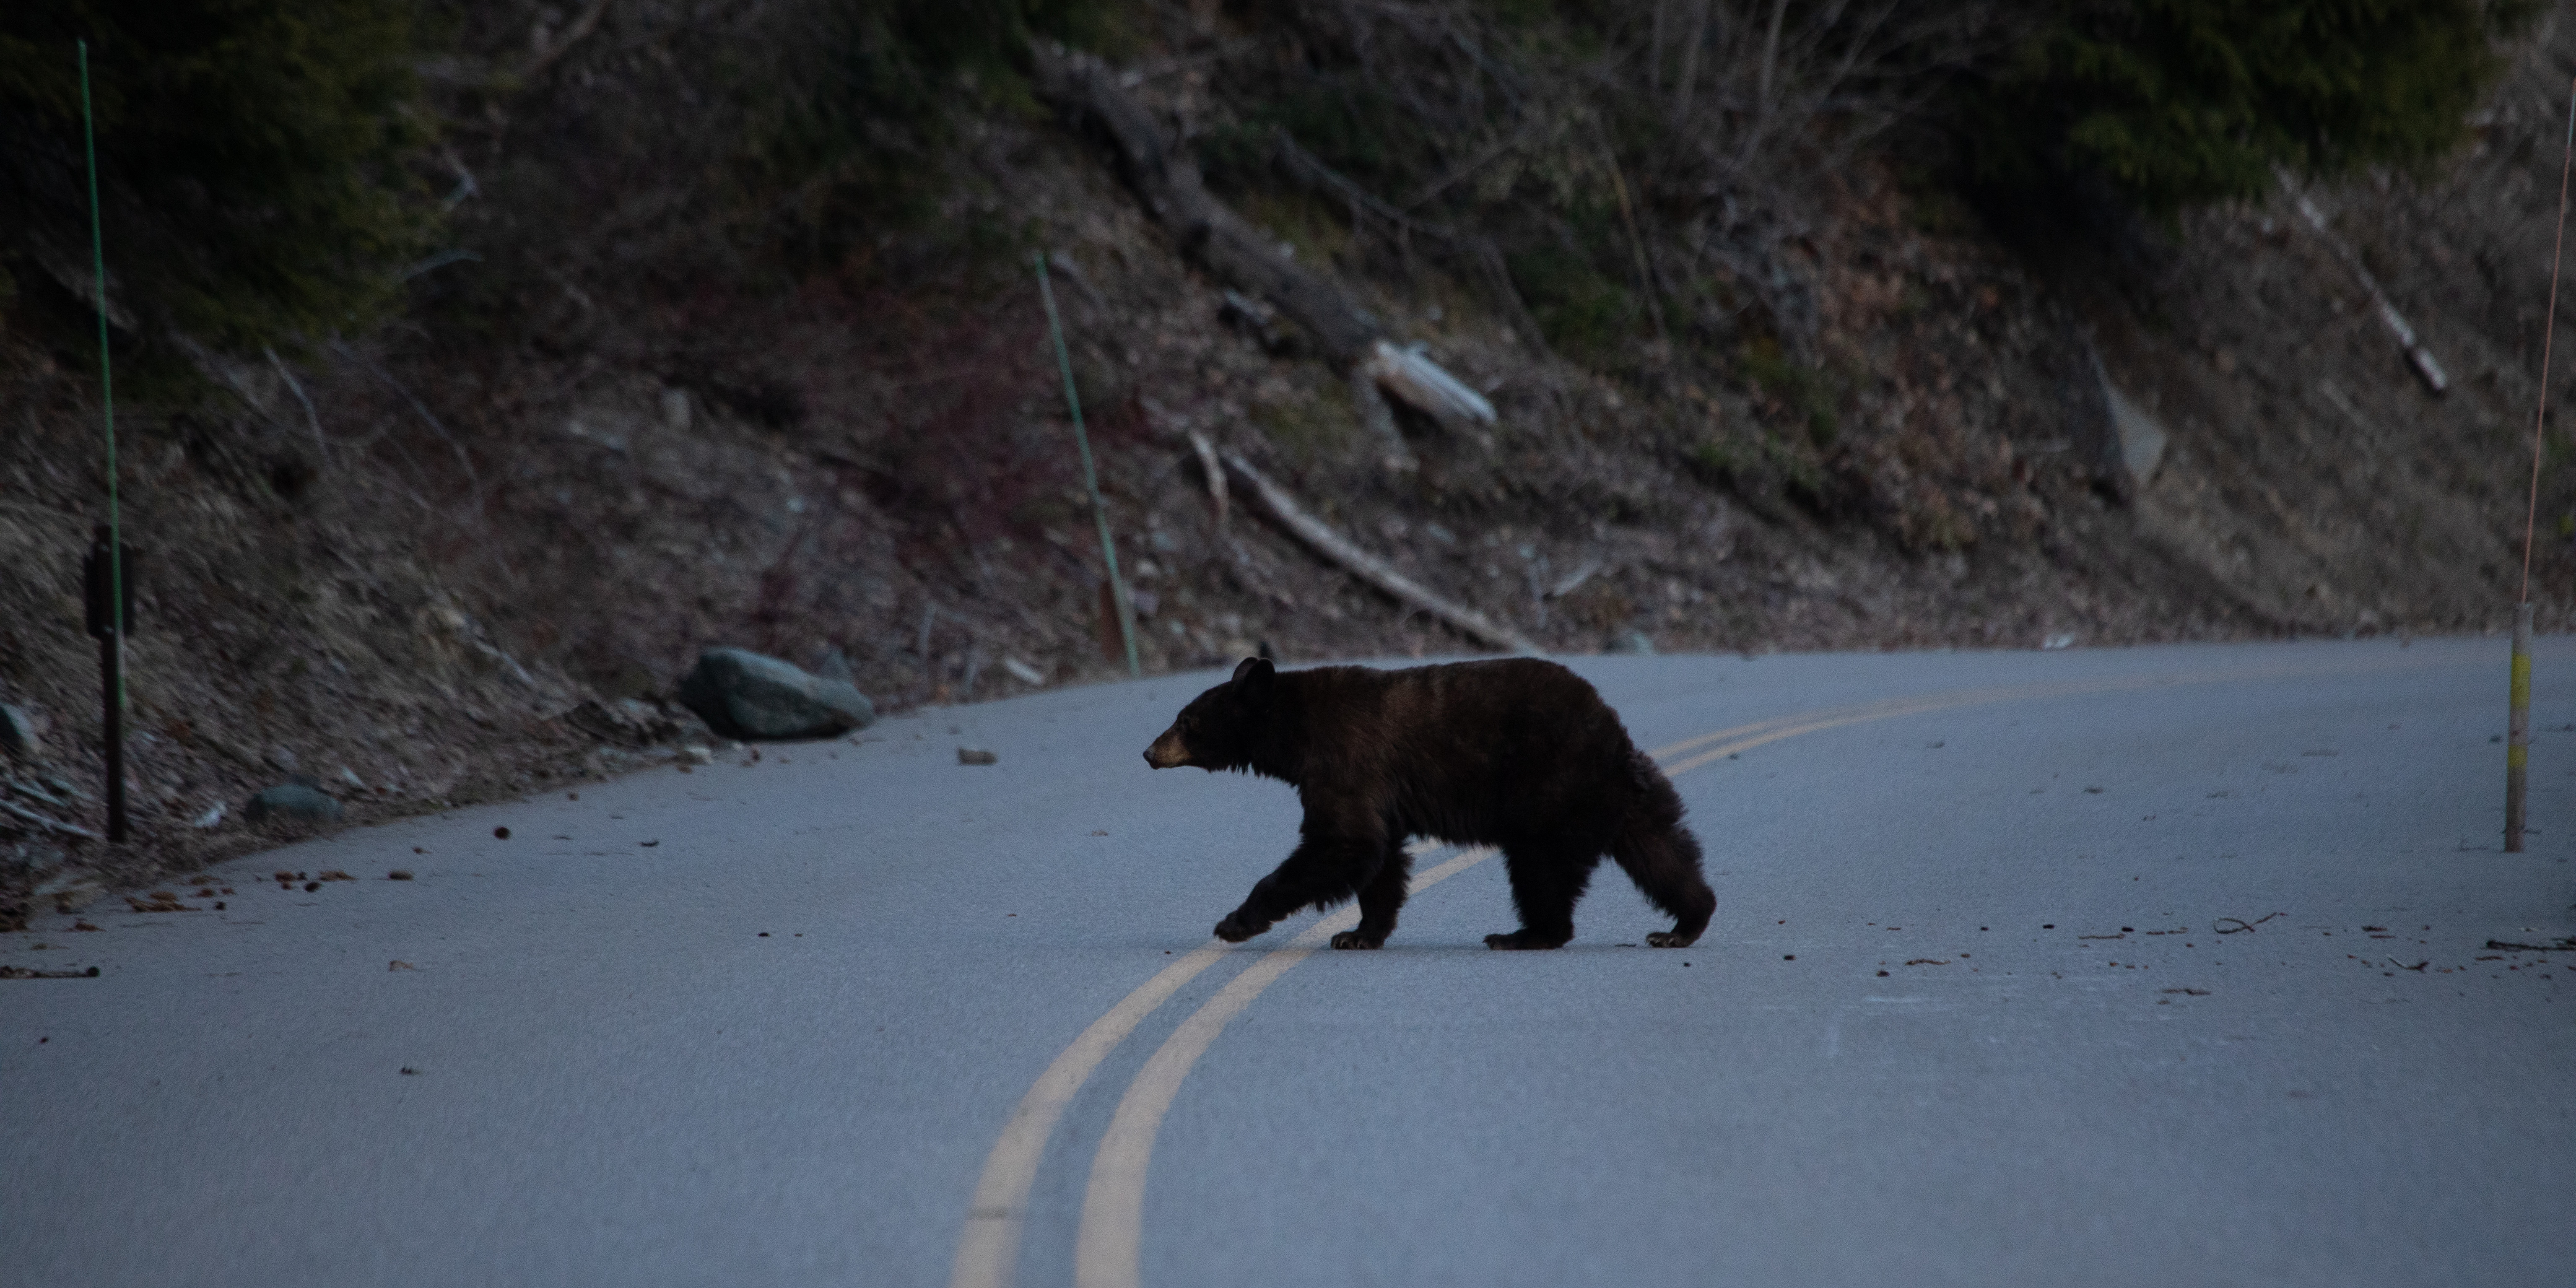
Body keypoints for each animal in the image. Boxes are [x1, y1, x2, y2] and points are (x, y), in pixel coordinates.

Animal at [1143, 659, 1710, 953]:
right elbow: (1379, 857)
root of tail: (1613, 735)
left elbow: (1342, 843)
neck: (1296, 730)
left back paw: (1524, 934)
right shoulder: (1377, 793)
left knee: (1540, 868)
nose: (1149, 752)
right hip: (1624, 796)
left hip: (1551, 790)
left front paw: (1235, 922)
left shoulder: (1344, 760)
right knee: (1660, 851)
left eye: (1186, 721)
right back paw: (1684, 924)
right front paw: (1359, 934)